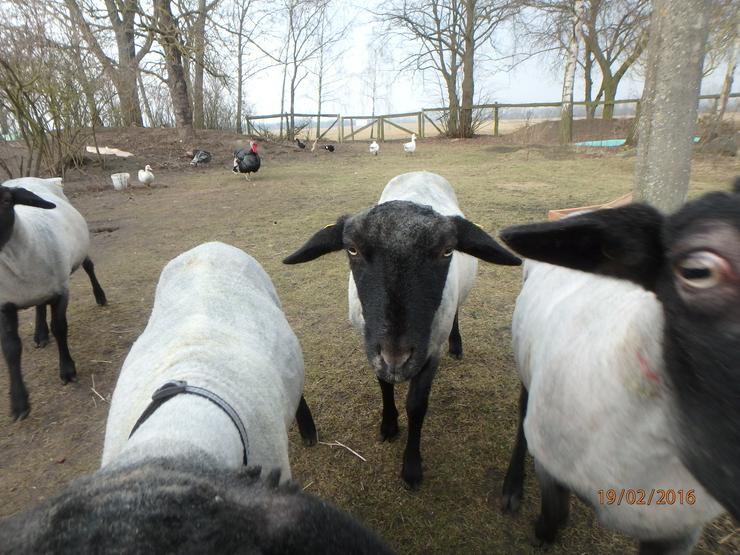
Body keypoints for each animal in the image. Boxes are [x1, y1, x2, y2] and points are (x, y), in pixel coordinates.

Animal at [0, 178, 107, 422]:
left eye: (7, 201)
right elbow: (11, 348)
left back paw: (100, 296)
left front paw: (67, 370)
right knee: (40, 305)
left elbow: (59, 328)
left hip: (78, 251)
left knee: (89, 267)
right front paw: (19, 403)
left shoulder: (61, 291)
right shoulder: (4, 305)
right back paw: (40, 334)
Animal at [284, 172, 520, 488]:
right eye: (352, 249)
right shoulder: (373, 349)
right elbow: (384, 384)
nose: (397, 355)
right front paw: (389, 425)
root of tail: (421, 172)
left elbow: (417, 406)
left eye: (447, 251)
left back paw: (457, 345)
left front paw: (411, 468)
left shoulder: (431, 350)